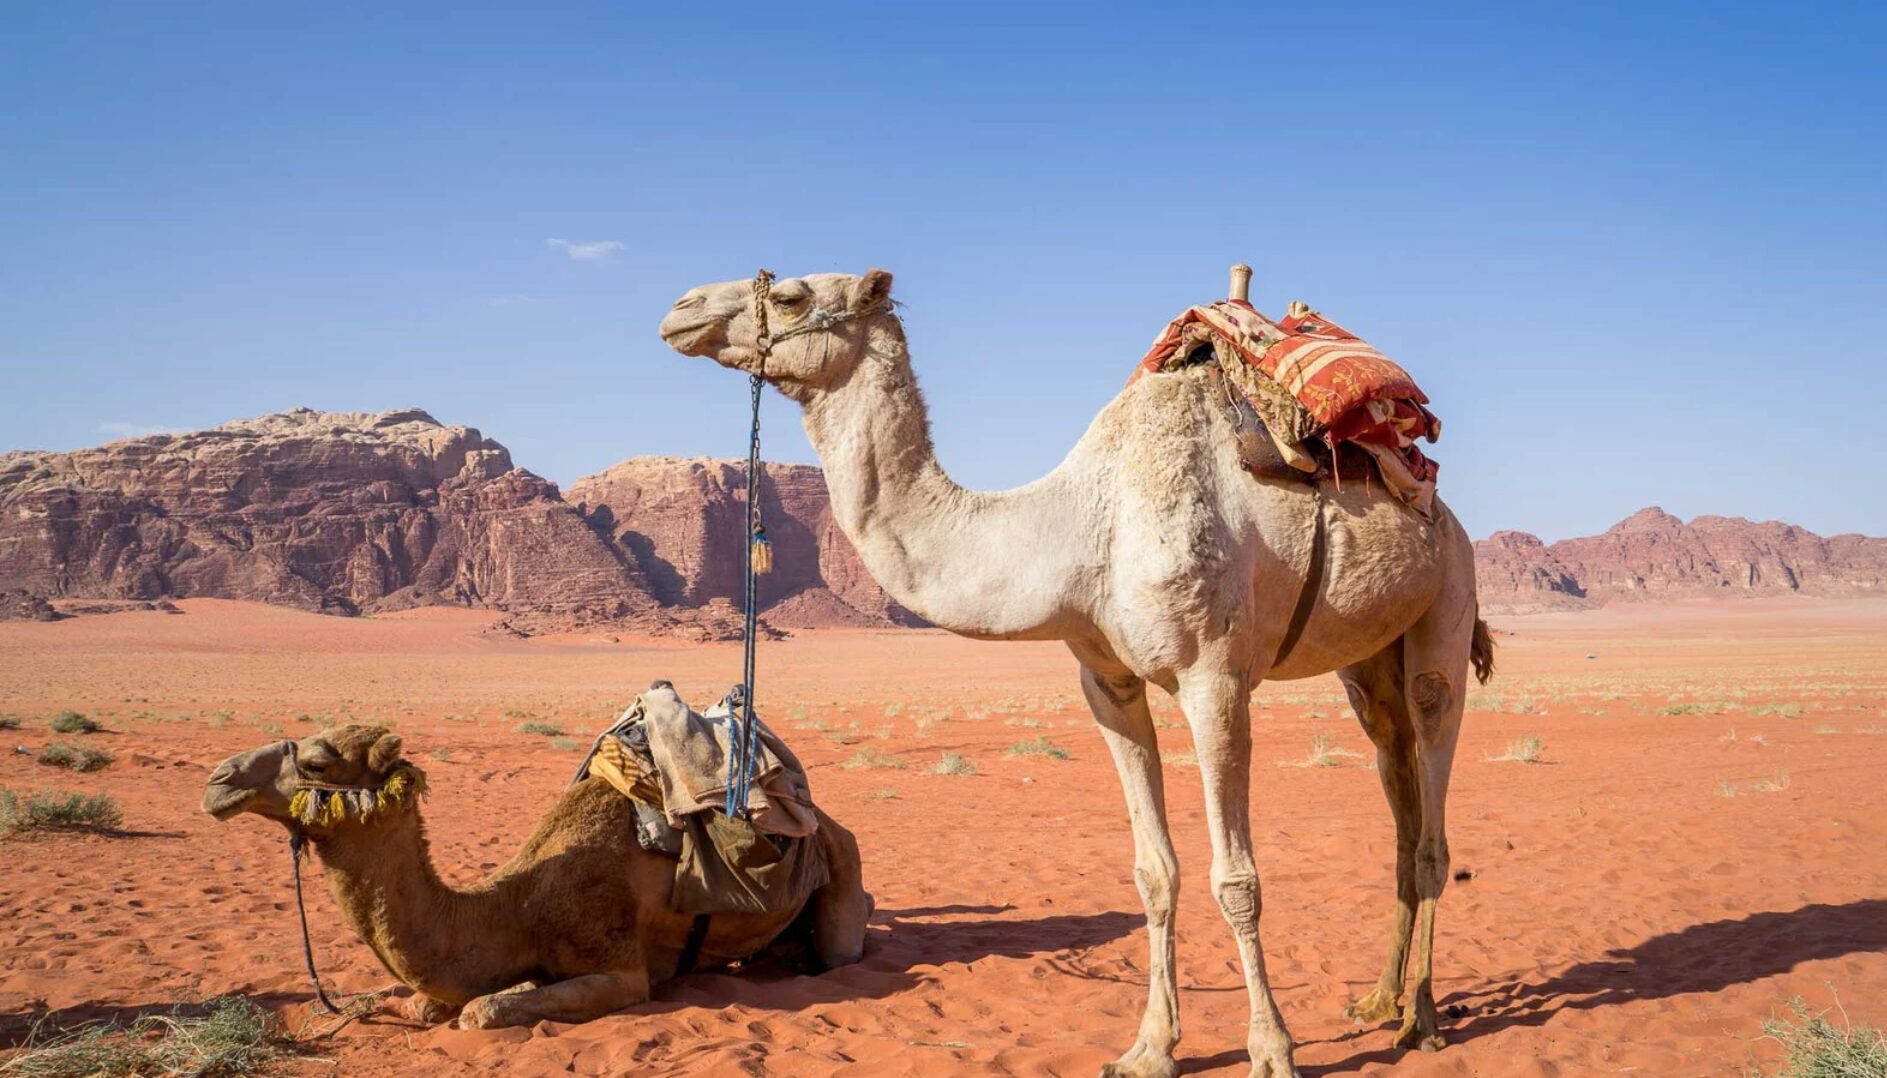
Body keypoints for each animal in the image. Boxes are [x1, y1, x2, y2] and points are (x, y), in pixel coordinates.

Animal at [200, 719, 872, 1029]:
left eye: (316, 761)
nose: (219, 780)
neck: (518, 906)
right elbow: (429, 1004)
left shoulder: (622, 970)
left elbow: (480, 1011)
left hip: (841, 854)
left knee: (845, 941)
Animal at [659, 269, 1494, 1077]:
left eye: (791, 294)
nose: (680, 309)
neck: (1080, 529)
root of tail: (1437, 505)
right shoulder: (1106, 685)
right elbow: (1154, 872)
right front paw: (1150, 1049)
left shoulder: (1214, 677)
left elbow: (1236, 878)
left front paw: (1270, 1050)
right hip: (1365, 660)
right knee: (1396, 786)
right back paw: (1378, 1000)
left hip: (1445, 604)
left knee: (1431, 807)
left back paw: (1421, 1020)